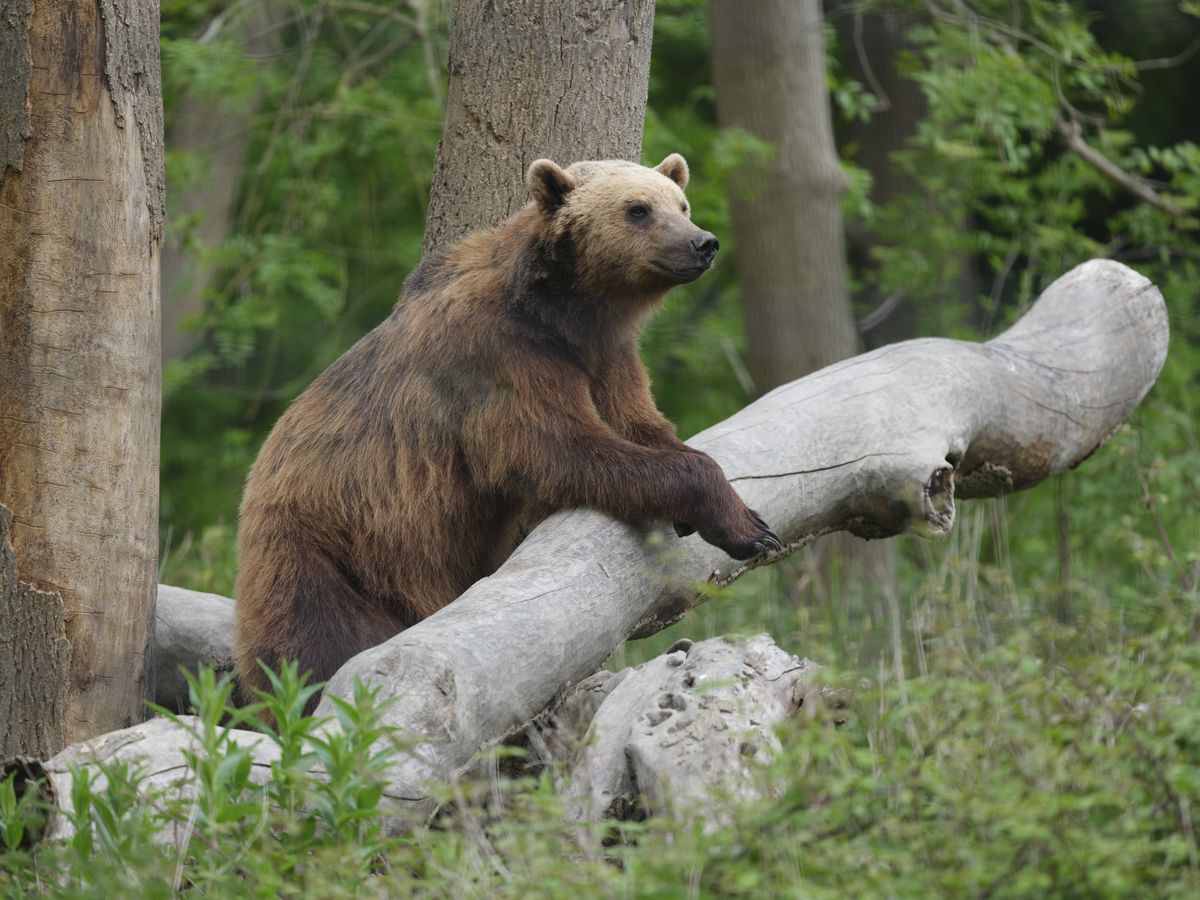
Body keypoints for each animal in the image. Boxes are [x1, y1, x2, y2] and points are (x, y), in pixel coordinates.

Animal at [234, 153, 782, 707]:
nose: (703, 242)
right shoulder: (503, 355)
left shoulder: (609, 358)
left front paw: (738, 511)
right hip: (333, 556)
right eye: (638, 209)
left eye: (681, 204)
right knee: (321, 648)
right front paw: (751, 529)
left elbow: (639, 427)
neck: (568, 312)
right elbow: (559, 451)